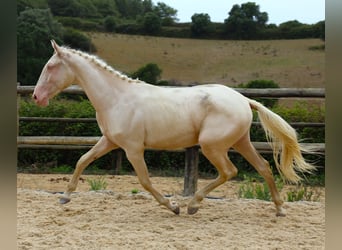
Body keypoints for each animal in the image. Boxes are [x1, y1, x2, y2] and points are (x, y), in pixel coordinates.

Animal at [32, 40, 316, 216]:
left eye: (50, 66)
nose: (36, 97)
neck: (116, 98)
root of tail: (243, 100)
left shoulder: (133, 149)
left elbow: (145, 181)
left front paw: (173, 206)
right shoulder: (109, 142)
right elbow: (82, 160)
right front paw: (65, 197)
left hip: (212, 146)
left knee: (229, 171)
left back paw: (192, 205)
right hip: (240, 142)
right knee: (264, 167)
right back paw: (279, 209)